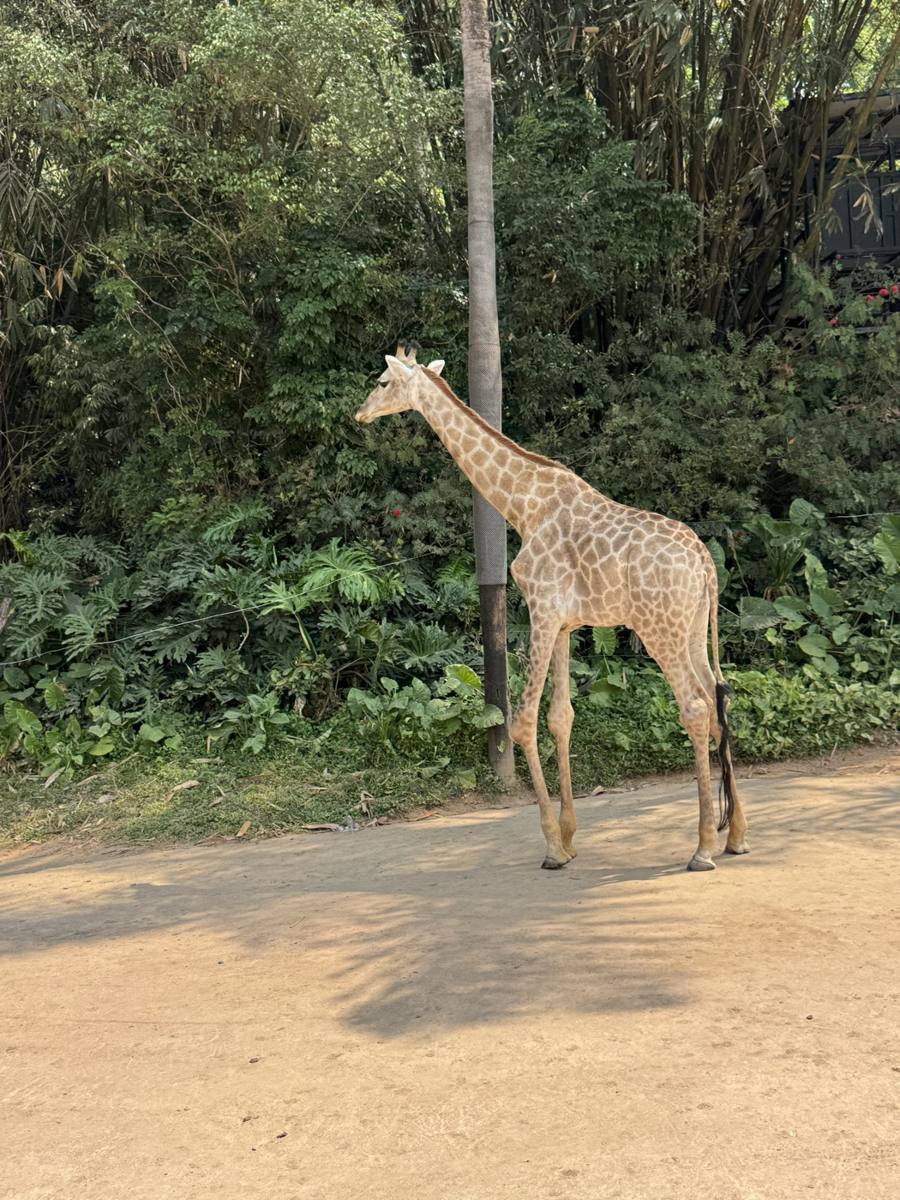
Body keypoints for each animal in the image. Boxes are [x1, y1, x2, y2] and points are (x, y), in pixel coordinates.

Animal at [355, 343, 749, 872]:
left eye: (381, 382)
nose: (359, 414)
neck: (523, 505)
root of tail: (705, 561)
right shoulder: (565, 623)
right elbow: (561, 716)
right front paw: (570, 835)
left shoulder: (539, 609)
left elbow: (522, 720)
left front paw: (552, 847)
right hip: (691, 628)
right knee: (719, 701)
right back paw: (736, 835)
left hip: (658, 629)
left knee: (694, 707)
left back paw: (703, 847)